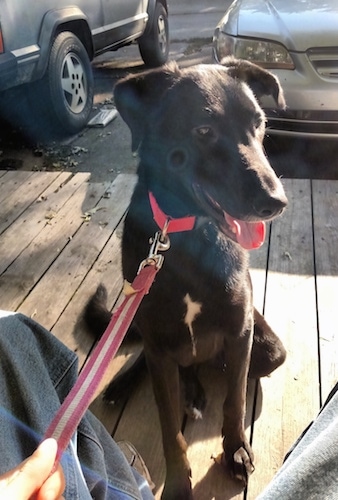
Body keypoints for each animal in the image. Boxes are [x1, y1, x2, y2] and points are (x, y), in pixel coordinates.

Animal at [85, 58, 288, 500]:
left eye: (260, 123)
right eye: (204, 130)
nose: (276, 202)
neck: (187, 237)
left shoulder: (240, 330)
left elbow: (234, 401)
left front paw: (235, 450)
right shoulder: (159, 342)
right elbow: (168, 428)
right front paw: (178, 482)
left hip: (269, 348)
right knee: (160, 361)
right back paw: (134, 385)